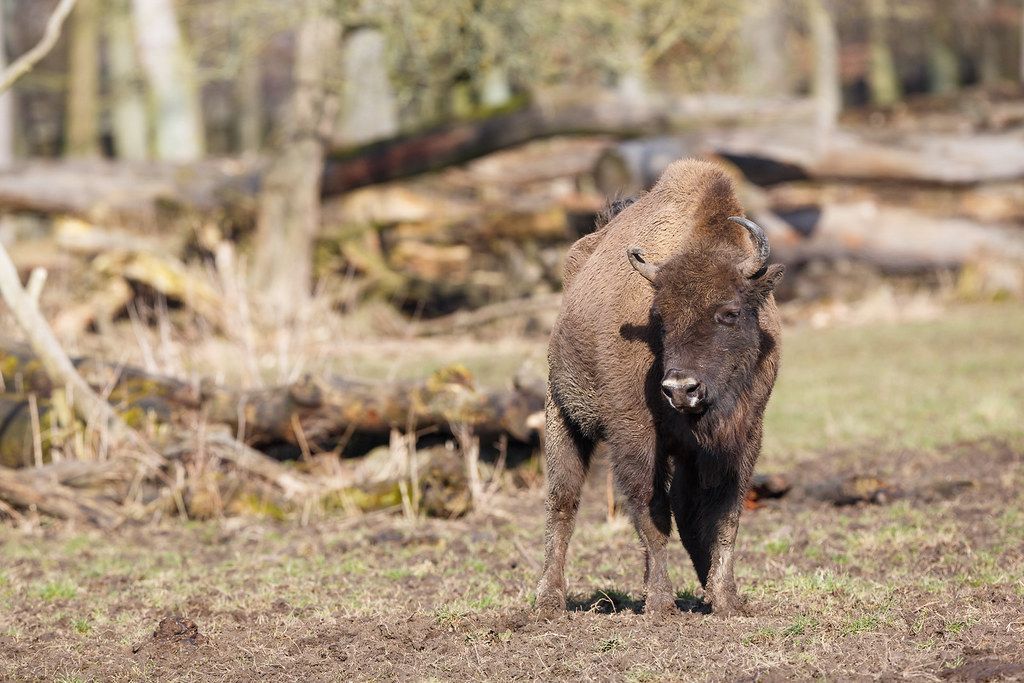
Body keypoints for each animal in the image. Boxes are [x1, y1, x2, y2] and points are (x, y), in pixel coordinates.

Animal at [537, 159, 784, 617]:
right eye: (660, 316)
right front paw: (660, 603)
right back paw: (549, 600)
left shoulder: (742, 437)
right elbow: (652, 513)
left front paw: (727, 600)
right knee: (563, 502)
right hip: (562, 415)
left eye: (730, 312)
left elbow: (724, 517)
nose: (681, 388)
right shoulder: (636, 436)